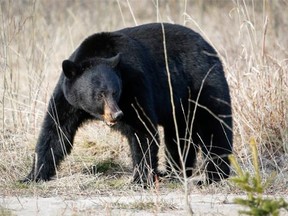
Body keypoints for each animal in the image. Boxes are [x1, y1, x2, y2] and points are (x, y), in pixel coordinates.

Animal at [23, 22, 234, 186]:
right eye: (99, 94)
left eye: (115, 92)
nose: (116, 115)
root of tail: (208, 45)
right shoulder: (69, 98)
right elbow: (56, 131)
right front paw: (33, 175)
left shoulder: (134, 84)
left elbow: (142, 130)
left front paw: (140, 179)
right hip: (179, 103)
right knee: (179, 135)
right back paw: (174, 173)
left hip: (203, 83)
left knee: (214, 126)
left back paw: (213, 176)